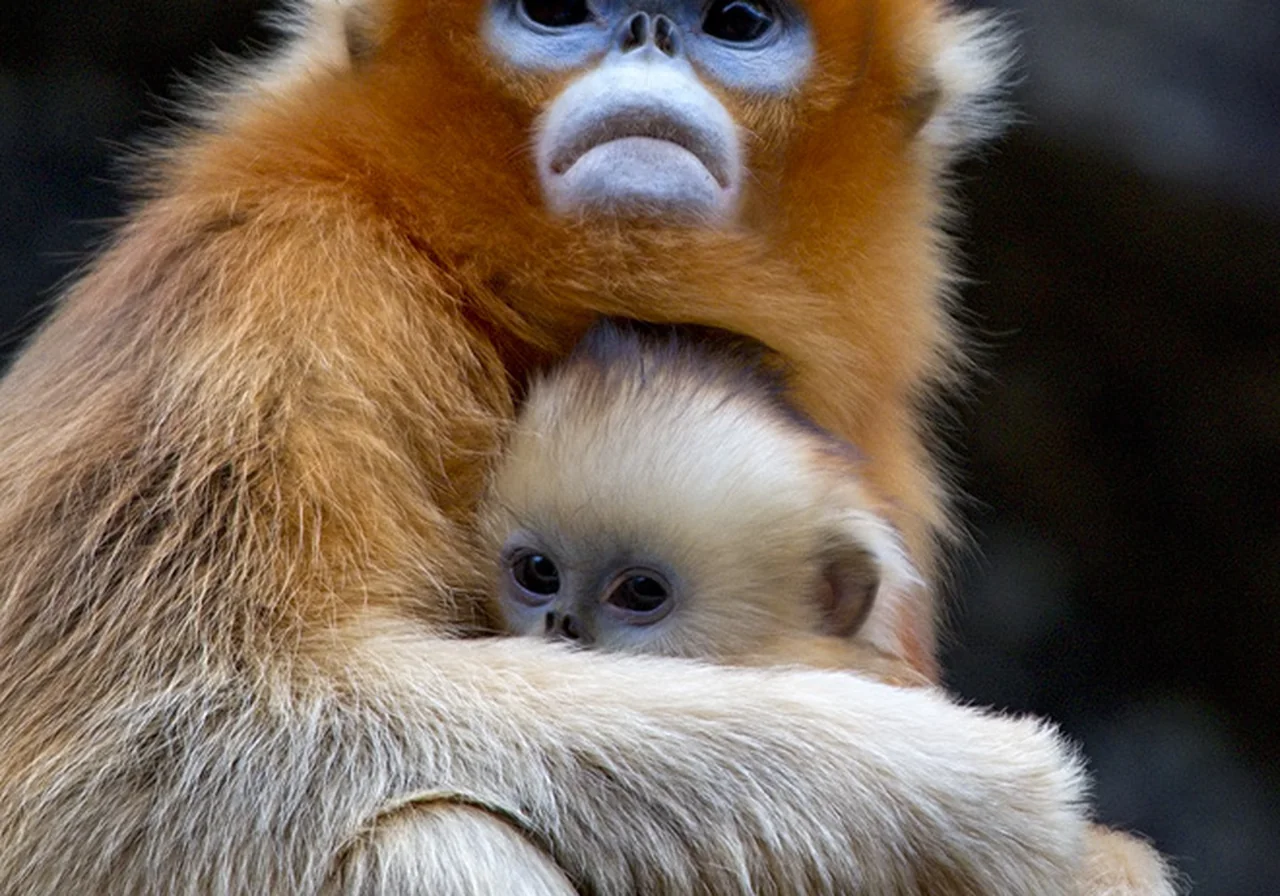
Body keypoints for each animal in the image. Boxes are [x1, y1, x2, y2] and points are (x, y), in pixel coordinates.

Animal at [0, 0, 1105, 893]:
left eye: (737, 20)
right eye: (557, 7)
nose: (646, 30)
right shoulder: (272, 296)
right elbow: (167, 744)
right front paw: (979, 792)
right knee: (431, 829)